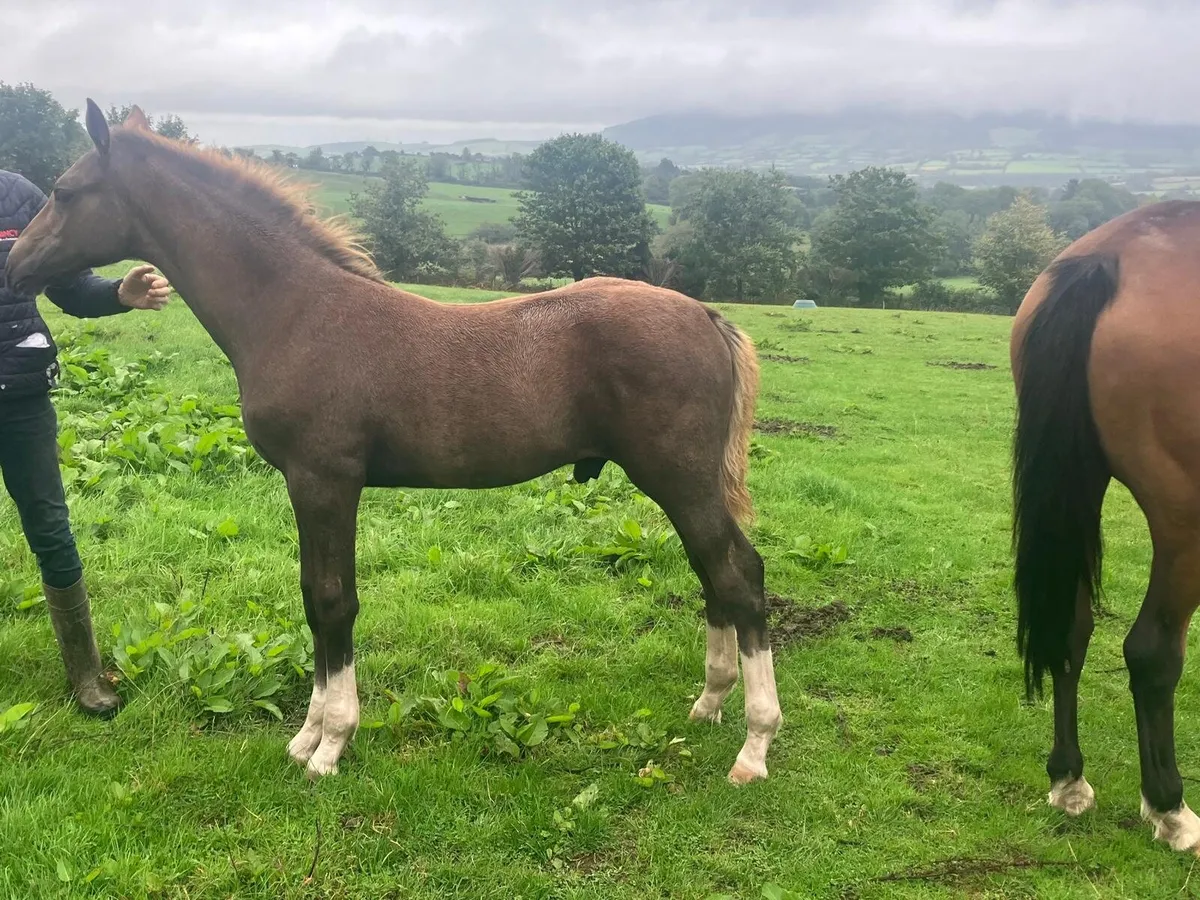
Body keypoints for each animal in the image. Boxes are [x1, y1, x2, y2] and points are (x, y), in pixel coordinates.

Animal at [6, 101, 783, 784]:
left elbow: (331, 601)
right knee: (713, 574)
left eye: (64, 191)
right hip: (679, 484)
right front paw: (306, 735)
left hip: (678, 477)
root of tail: (707, 316)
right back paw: (710, 704)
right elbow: (311, 595)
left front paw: (329, 744)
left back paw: (754, 745)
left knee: (738, 575)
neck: (295, 311)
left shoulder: (324, 479)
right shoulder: (308, 485)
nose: (15, 267)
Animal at [1012, 198, 1200, 853]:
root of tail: (1111, 257)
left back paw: (1068, 778)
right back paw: (1170, 808)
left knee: (1071, 629)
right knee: (1151, 651)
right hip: (1185, 520)